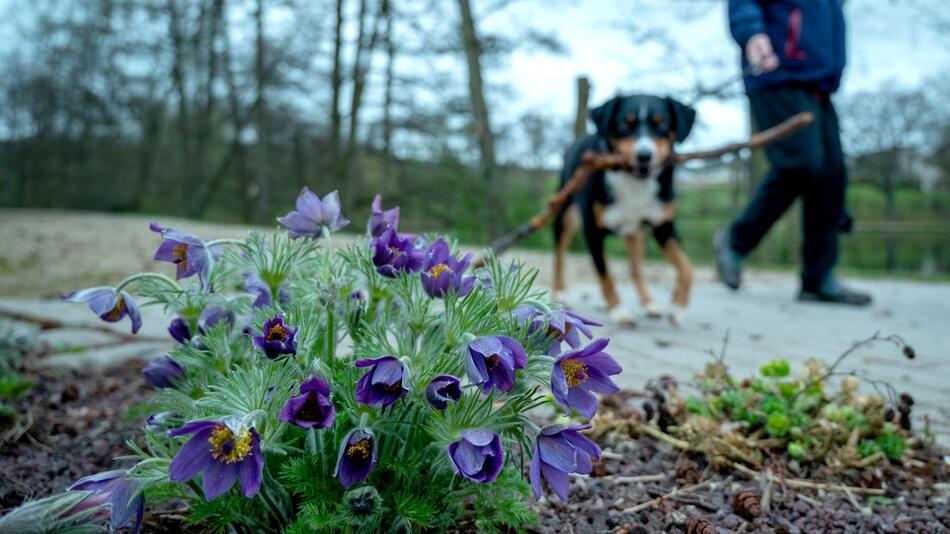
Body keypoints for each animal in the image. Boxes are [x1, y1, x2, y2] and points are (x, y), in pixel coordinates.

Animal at [552, 94, 700, 324]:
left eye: (661, 124)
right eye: (625, 124)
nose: (644, 155)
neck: (634, 182)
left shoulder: (664, 227)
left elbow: (686, 268)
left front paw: (678, 307)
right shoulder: (593, 231)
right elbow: (605, 275)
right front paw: (618, 310)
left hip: (636, 234)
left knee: (636, 269)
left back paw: (649, 303)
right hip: (565, 215)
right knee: (559, 254)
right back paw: (559, 292)